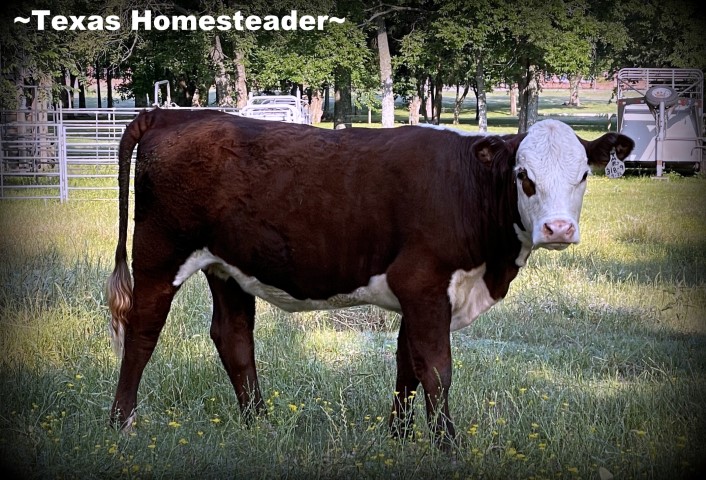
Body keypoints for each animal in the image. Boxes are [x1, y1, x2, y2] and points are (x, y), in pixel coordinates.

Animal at [108, 109, 632, 442]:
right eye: (524, 176)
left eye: (584, 175)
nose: (559, 229)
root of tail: (173, 113)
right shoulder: (424, 283)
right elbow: (436, 368)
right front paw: (447, 445)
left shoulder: (417, 295)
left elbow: (407, 365)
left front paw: (398, 436)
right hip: (160, 255)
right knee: (142, 331)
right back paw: (121, 424)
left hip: (228, 266)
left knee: (233, 337)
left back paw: (259, 424)